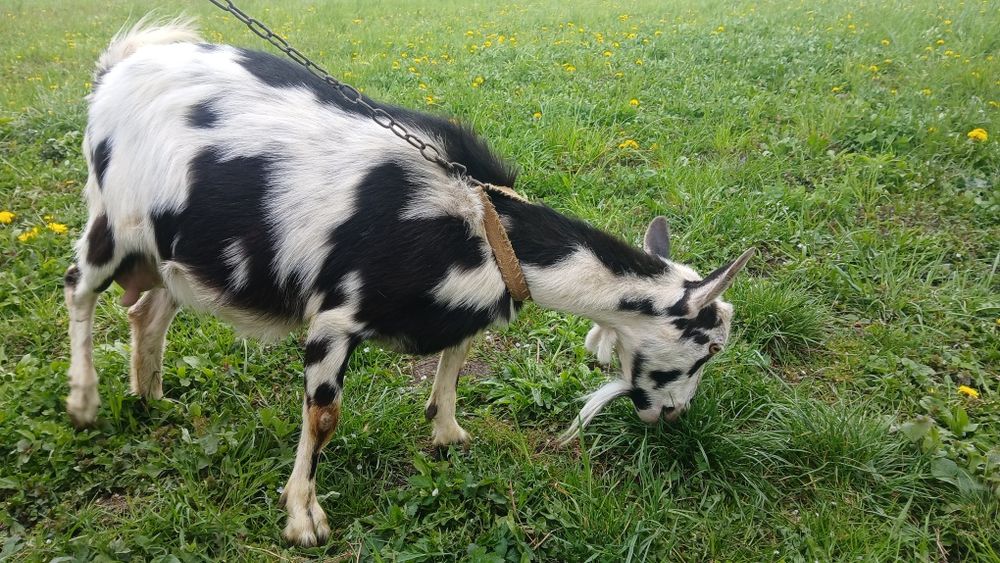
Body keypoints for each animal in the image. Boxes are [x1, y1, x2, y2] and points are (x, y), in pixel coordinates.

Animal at [64, 18, 754, 546]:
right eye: (707, 347)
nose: (672, 417)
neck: (481, 224)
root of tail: (117, 66)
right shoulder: (336, 317)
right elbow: (324, 417)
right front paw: (303, 519)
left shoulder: (458, 308)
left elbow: (457, 357)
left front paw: (447, 432)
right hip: (110, 221)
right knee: (78, 287)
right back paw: (85, 401)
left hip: (167, 250)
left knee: (147, 312)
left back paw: (152, 397)